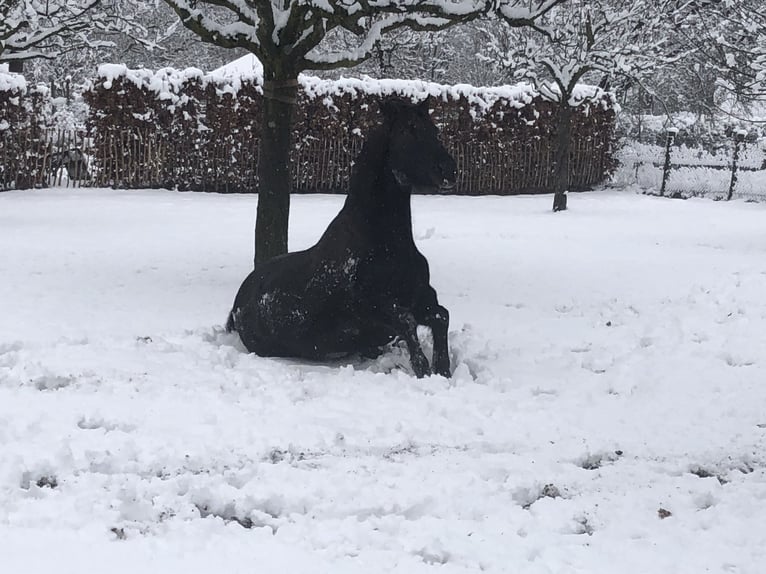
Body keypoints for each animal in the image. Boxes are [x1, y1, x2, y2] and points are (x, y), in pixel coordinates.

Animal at [226, 99, 456, 378]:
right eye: (407, 130)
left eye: (434, 130)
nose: (448, 170)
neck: (388, 245)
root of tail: (238, 302)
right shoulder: (372, 308)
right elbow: (407, 320)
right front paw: (422, 369)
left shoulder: (421, 297)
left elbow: (441, 316)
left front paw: (443, 369)